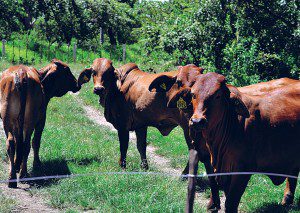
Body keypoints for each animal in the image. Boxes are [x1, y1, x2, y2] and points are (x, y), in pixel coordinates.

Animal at [0, 59, 80, 187]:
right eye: (67, 71)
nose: (77, 84)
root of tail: (22, 72)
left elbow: (18, 141)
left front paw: (17, 164)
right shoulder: (42, 119)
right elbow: (36, 141)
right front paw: (37, 164)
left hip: (8, 120)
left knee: (12, 143)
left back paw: (12, 177)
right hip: (30, 121)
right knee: (27, 143)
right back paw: (23, 174)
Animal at [77, 58, 221, 211]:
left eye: (108, 72)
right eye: (94, 71)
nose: (98, 89)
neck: (117, 88)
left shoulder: (122, 125)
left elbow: (124, 146)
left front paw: (122, 166)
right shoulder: (141, 125)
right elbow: (141, 146)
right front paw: (144, 167)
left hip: (190, 130)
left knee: (201, 156)